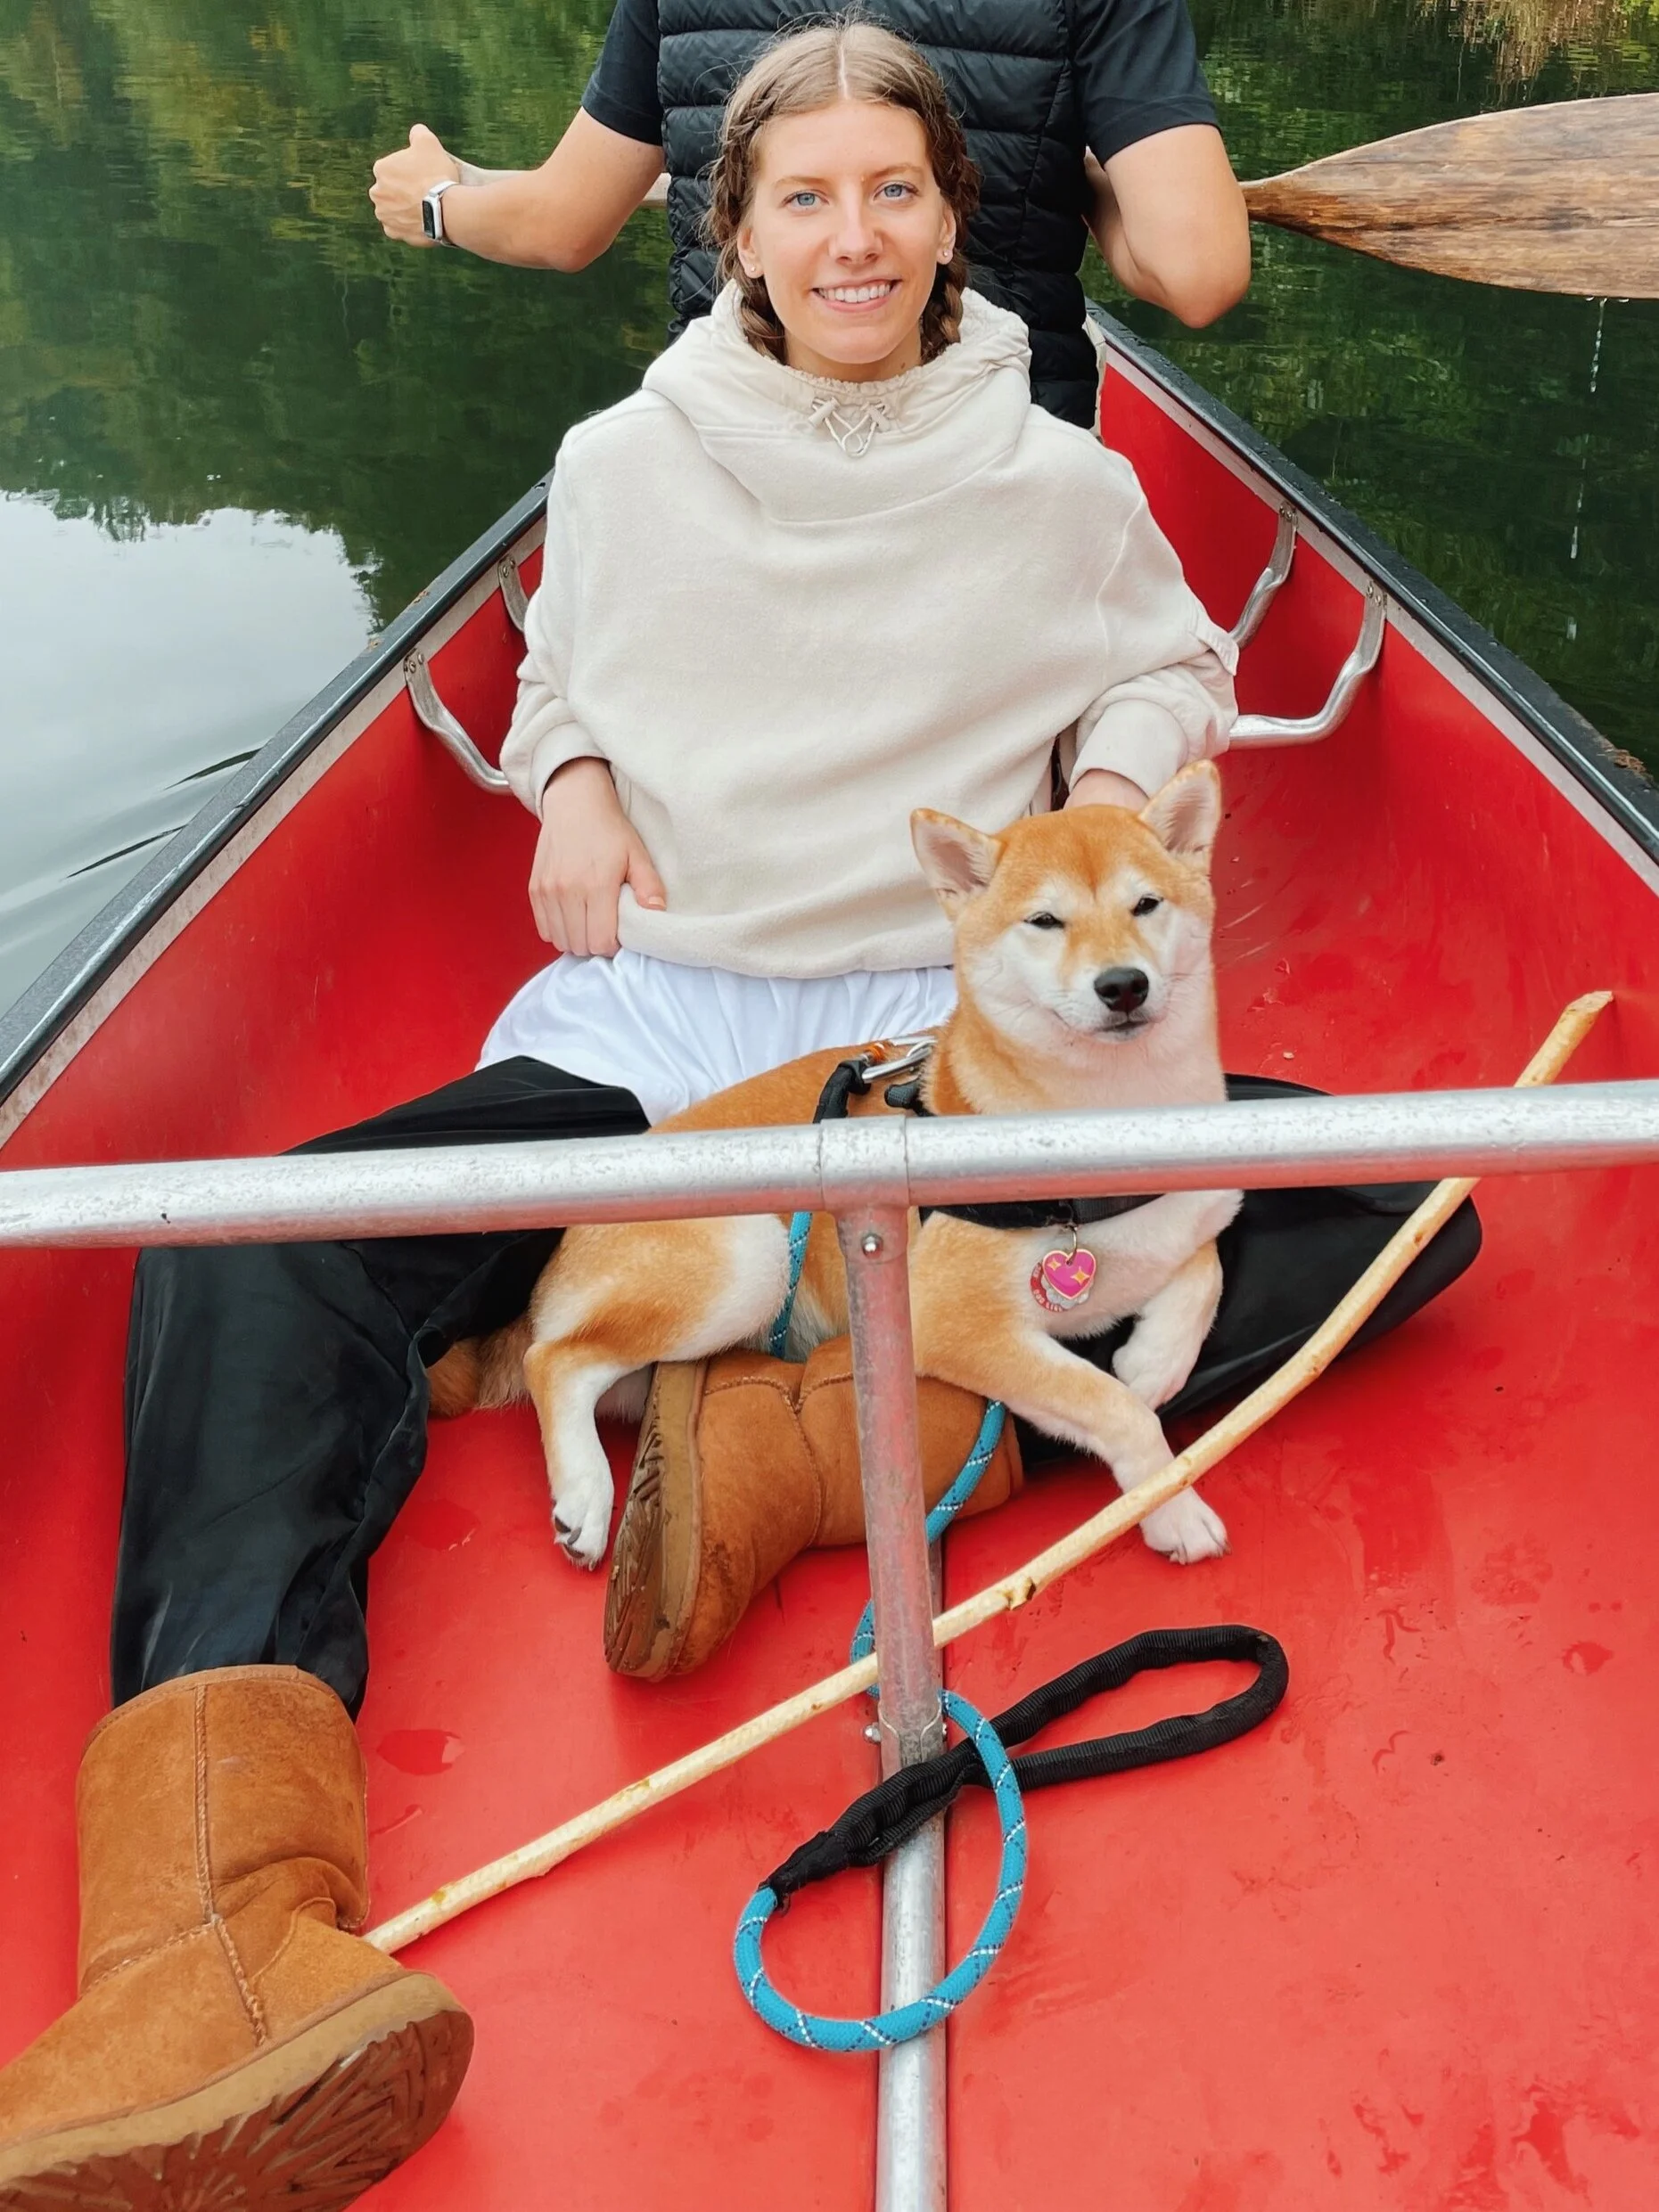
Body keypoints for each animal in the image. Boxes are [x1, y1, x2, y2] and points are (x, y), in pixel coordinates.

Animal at [434, 761, 1241, 1571]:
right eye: (1045, 922)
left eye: (1146, 904)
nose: (1122, 984)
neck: (1108, 1120)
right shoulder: (947, 1318)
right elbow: (1115, 1409)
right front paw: (1172, 1508)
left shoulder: (1197, 1214)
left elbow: (1203, 1272)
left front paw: (1152, 1360)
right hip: (747, 1261)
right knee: (553, 1359)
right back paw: (586, 1496)